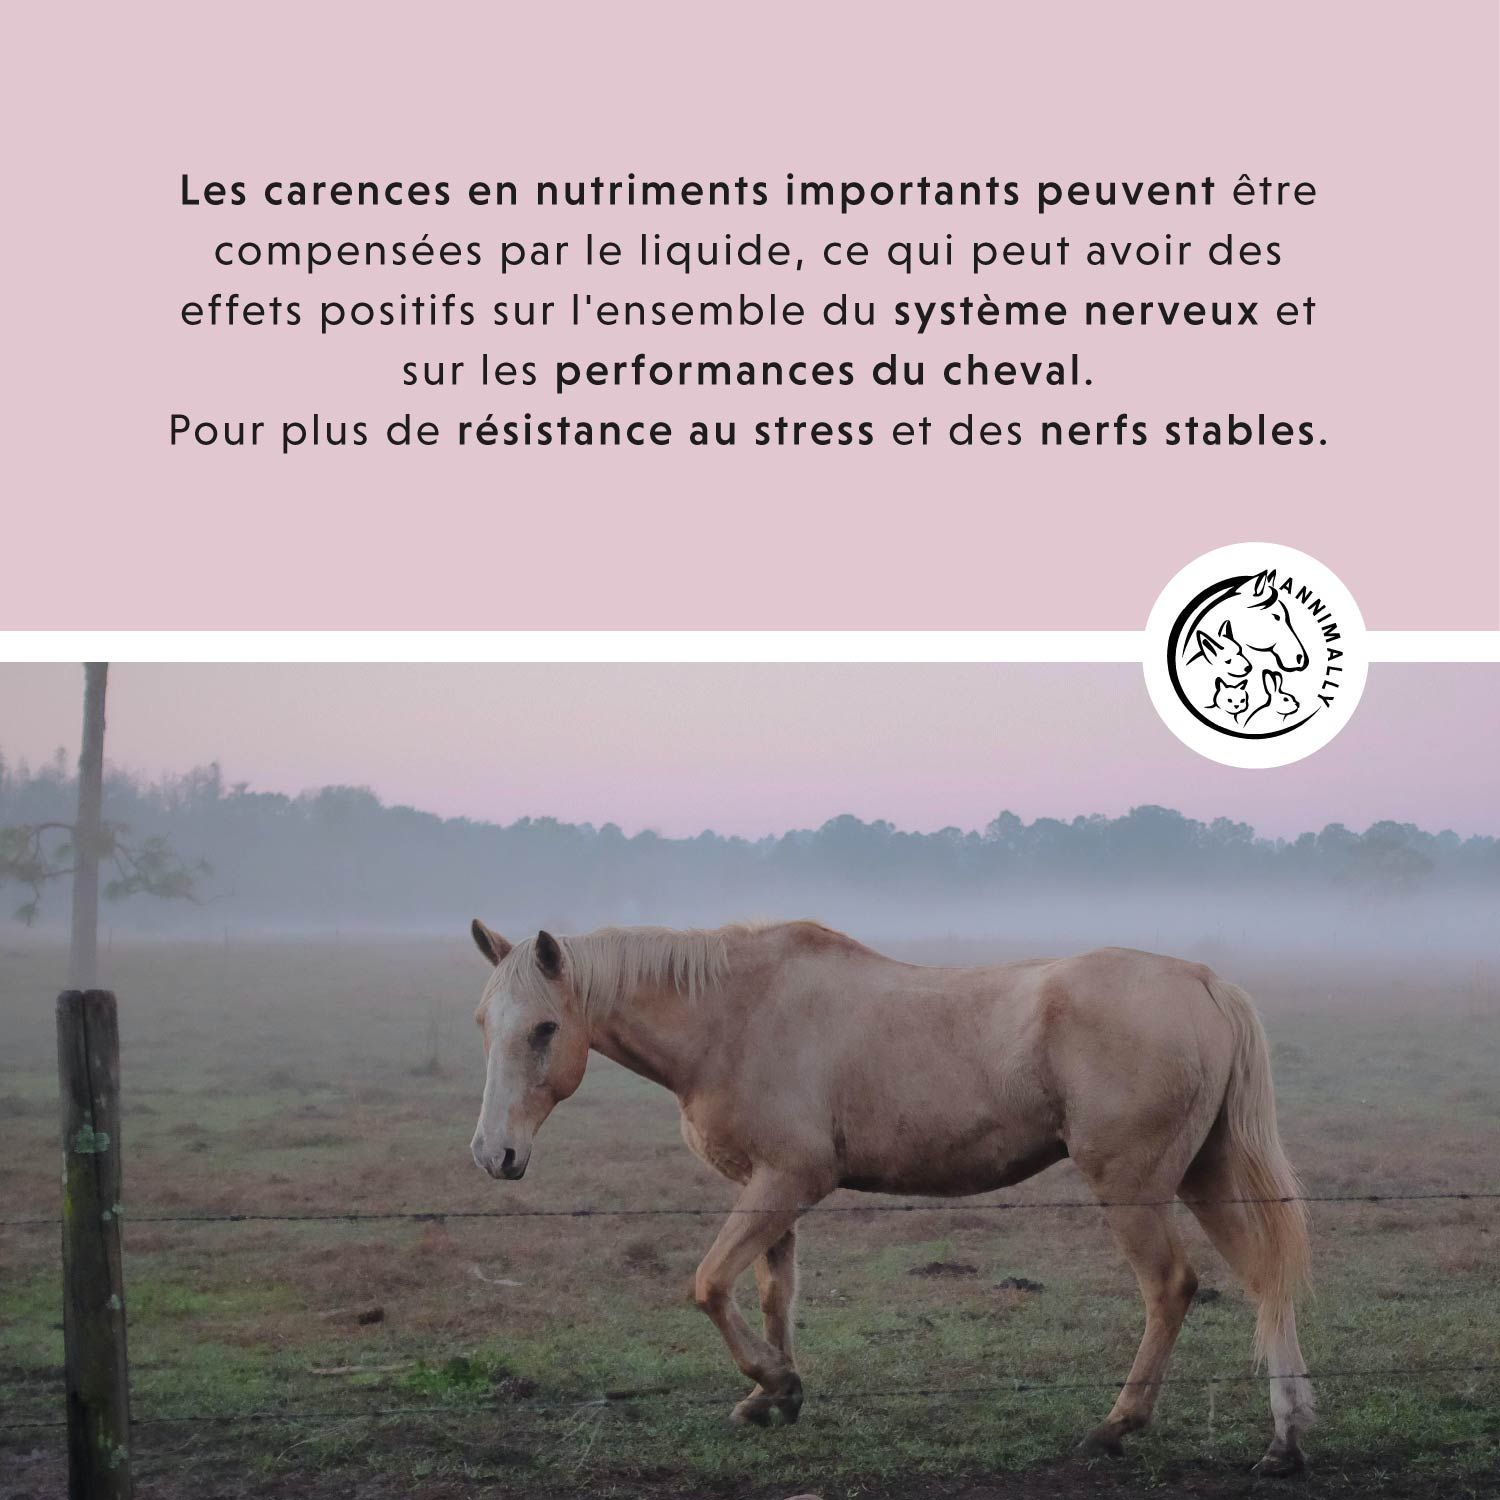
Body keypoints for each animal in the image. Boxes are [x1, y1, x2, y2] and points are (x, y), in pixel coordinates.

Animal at [468, 918, 1315, 1474]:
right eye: (483, 1023)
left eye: (545, 1028)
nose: (493, 1154)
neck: (736, 1016)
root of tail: (1203, 981)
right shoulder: (770, 1191)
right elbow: (772, 1296)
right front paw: (774, 1396)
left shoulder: (788, 1182)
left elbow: (709, 1285)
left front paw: (775, 1385)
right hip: (1205, 1177)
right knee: (1266, 1281)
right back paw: (1285, 1438)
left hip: (1134, 1189)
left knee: (1171, 1288)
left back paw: (1117, 1426)